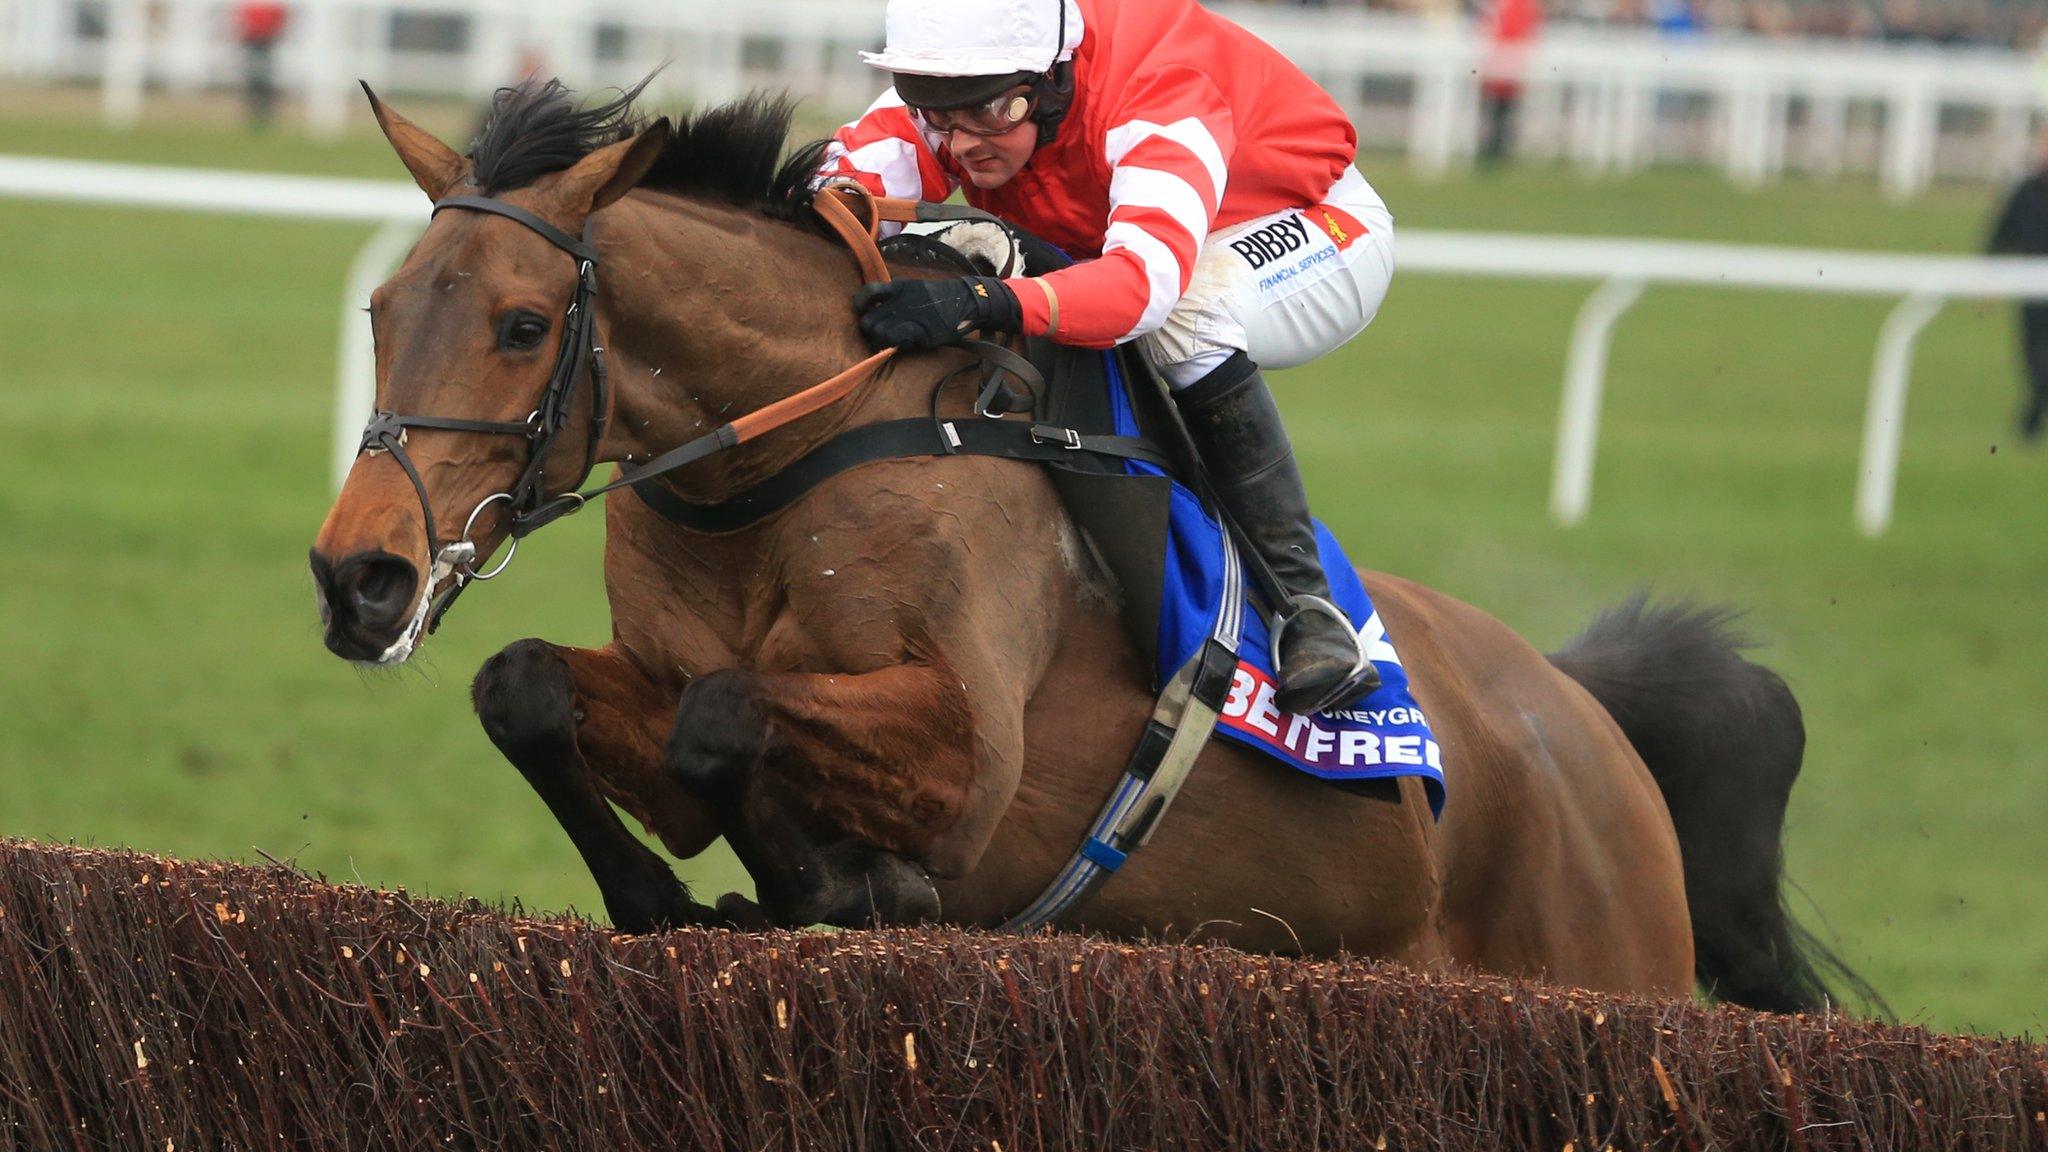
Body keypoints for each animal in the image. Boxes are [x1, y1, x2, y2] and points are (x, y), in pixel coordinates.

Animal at [311, 80, 1867, 1008]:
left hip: (1605, 966)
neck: (789, 461)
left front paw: (831, 882)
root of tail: (1580, 715)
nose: (358, 576)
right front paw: (669, 889)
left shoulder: (970, 755)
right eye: (381, 309)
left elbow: (729, 714)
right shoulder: (649, 669)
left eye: (523, 324)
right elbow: (529, 685)